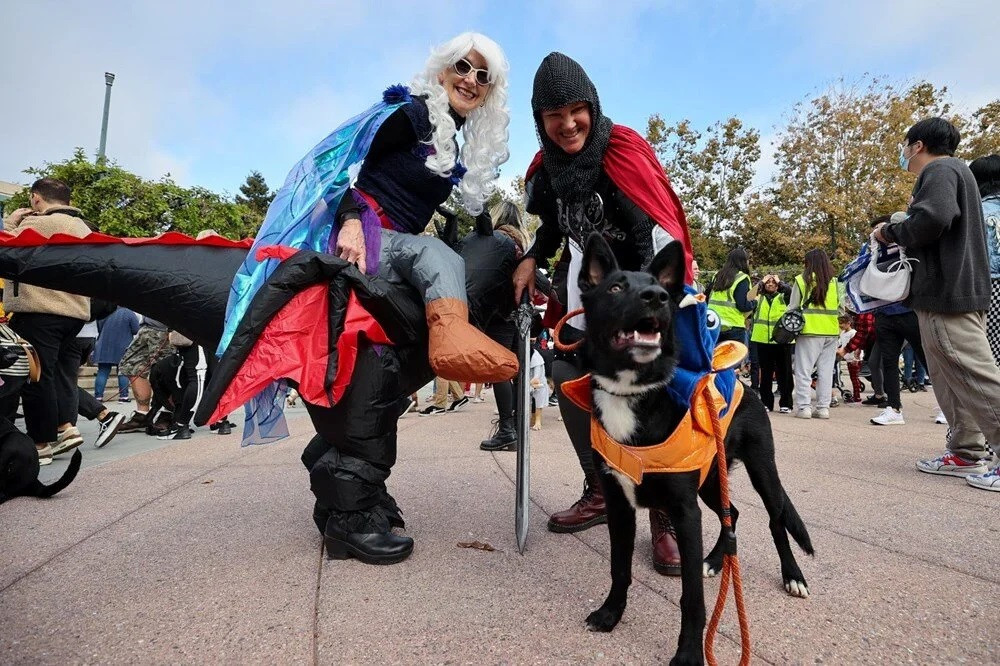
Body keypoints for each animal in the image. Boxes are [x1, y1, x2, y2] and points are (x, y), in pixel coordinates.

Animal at [576, 232, 808, 660]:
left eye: (662, 290)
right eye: (615, 287)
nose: (655, 296)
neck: (634, 392)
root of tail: (746, 384)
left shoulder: (684, 512)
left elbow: (692, 598)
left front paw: (688, 653)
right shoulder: (620, 505)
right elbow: (619, 568)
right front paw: (610, 613)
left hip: (762, 471)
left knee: (775, 520)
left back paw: (793, 576)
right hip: (712, 479)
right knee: (733, 514)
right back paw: (715, 560)